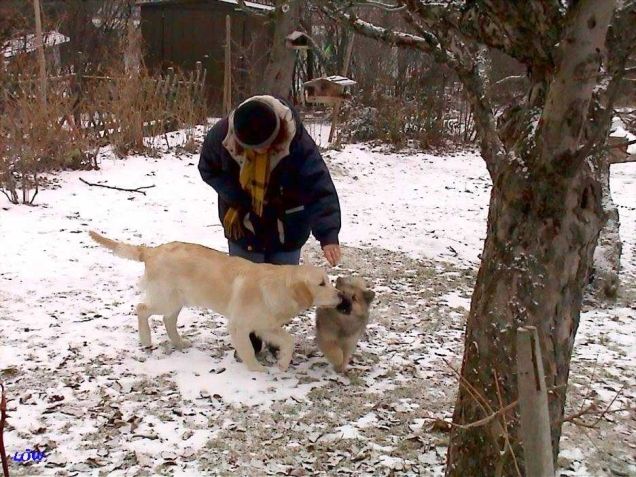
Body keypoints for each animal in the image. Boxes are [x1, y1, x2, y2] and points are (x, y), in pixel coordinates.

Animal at [89, 231, 342, 372]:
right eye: (321, 283)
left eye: (329, 281)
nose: (340, 296)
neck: (277, 287)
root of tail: (151, 251)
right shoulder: (240, 325)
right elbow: (247, 350)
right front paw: (257, 370)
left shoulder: (265, 325)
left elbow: (288, 340)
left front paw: (282, 363)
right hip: (165, 298)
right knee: (141, 308)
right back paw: (145, 339)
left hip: (178, 300)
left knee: (168, 321)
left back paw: (179, 343)